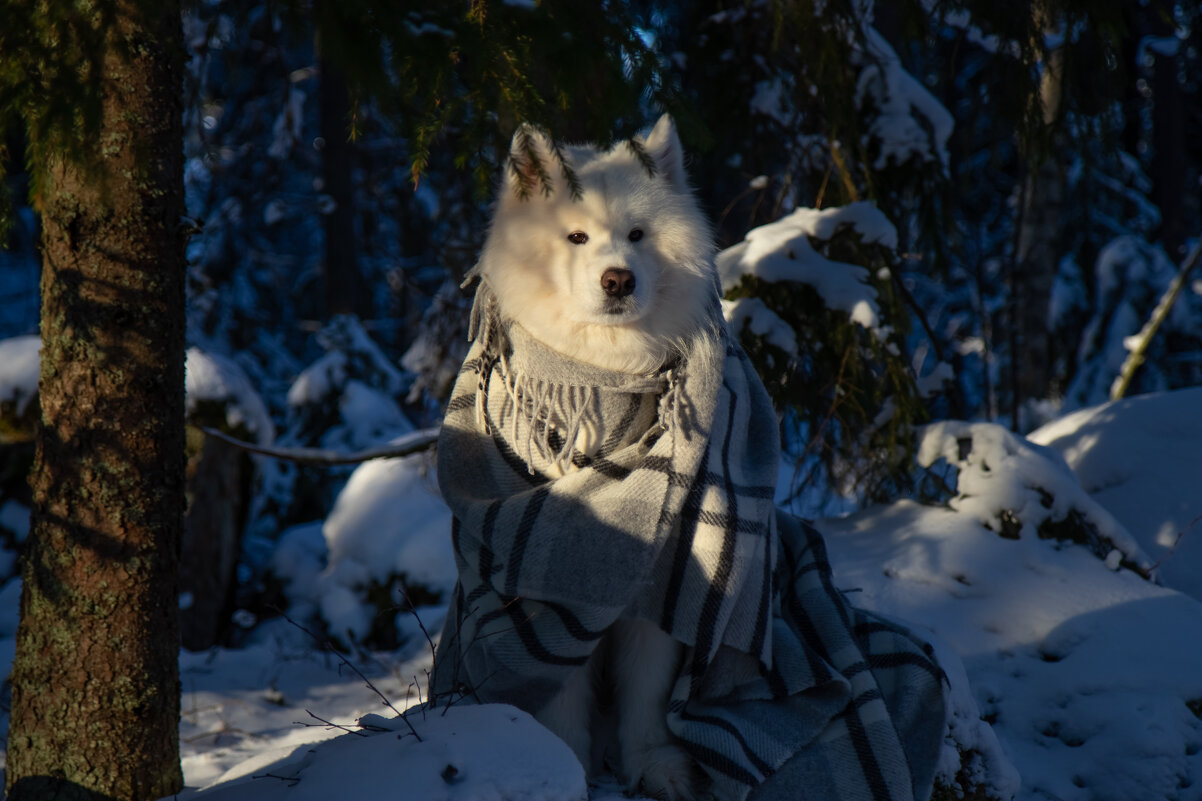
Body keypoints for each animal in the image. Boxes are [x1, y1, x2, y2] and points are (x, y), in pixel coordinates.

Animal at [466, 113, 711, 798]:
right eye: (576, 237)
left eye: (637, 235)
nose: (618, 279)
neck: (603, 376)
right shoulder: (551, 594)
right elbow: (561, 696)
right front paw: (566, 766)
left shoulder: (659, 582)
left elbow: (646, 694)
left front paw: (655, 766)